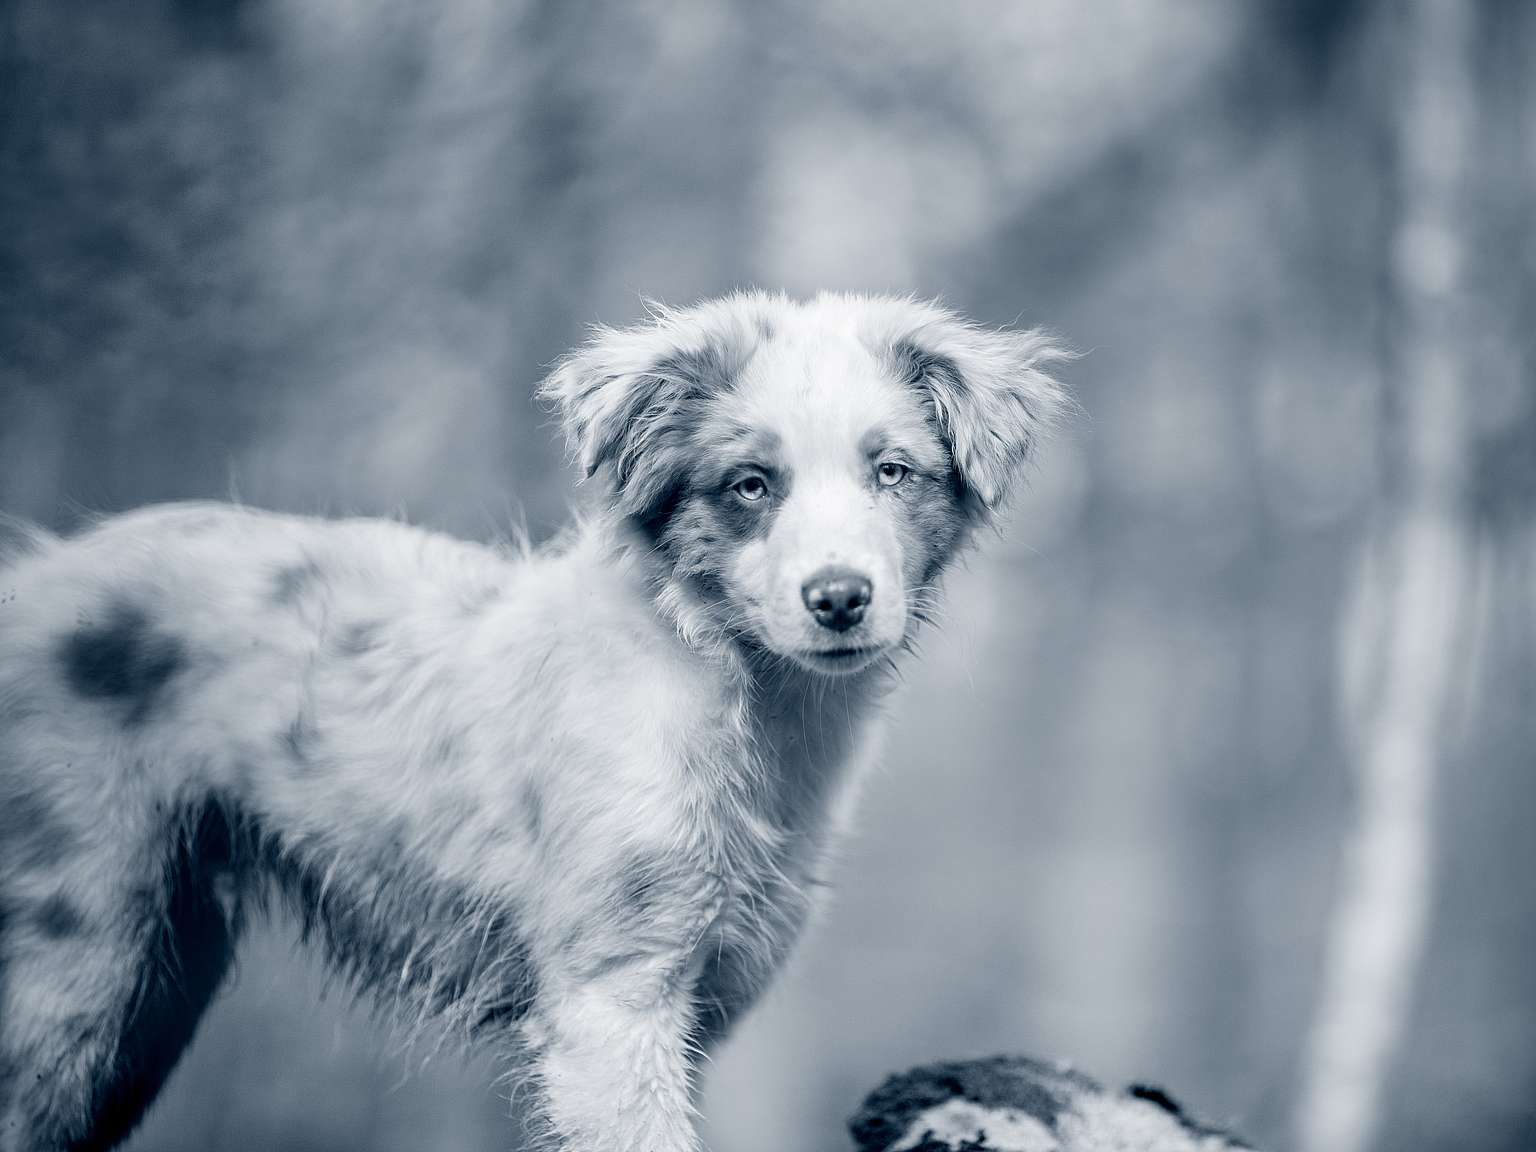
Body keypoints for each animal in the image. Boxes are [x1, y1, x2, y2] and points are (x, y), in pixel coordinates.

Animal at [0, 294, 1075, 1152]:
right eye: (750, 485)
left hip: (156, 984)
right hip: (74, 971)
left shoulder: (699, 1008)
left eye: (893, 472)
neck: (730, 702)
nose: (841, 598)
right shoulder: (613, 1003)